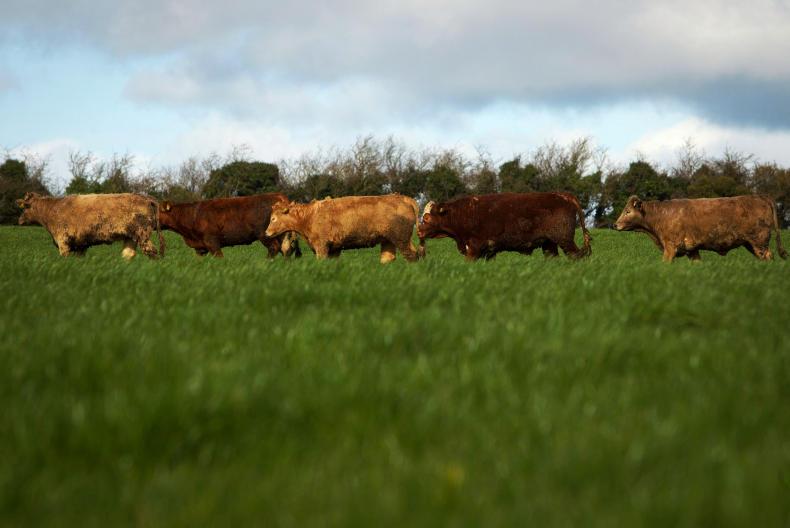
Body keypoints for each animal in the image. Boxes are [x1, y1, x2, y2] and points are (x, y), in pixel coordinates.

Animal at [16, 192, 164, 259]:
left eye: (25, 208)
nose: (19, 220)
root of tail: (145, 197)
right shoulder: (80, 245)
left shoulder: (63, 240)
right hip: (131, 237)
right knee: (128, 254)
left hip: (142, 234)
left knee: (152, 252)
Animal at [158, 194, 301, 258]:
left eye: (157, 210)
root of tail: (279, 196)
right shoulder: (200, 248)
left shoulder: (212, 241)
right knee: (286, 249)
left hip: (265, 234)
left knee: (274, 248)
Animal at [264, 194, 421, 263]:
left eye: (273, 219)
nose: (266, 232)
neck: (309, 216)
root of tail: (402, 197)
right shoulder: (334, 249)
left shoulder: (321, 246)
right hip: (388, 241)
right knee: (388, 258)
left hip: (401, 239)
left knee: (412, 255)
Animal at [417, 192, 592, 261]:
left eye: (426, 217)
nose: (418, 231)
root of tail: (564, 195)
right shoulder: (488, 252)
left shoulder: (474, 248)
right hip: (549, 244)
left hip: (565, 240)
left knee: (577, 256)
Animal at [614, 194, 787, 262]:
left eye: (627, 211)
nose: (615, 224)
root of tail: (760, 196)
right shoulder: (692, 250)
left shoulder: (670, 246)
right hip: (751, 244)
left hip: (759, 241)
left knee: (769, 256)